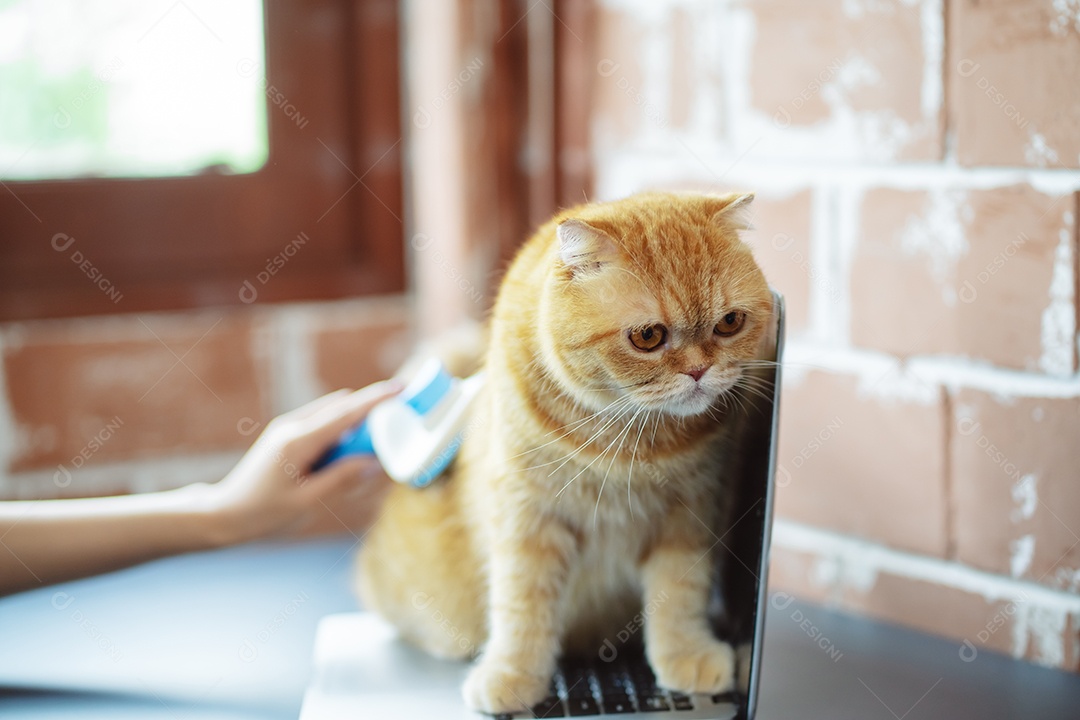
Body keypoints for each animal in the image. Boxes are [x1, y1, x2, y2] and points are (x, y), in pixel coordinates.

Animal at [358, 191, 773, 716]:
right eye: (648, 337)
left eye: (729, 323)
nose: (700, 371)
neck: (628, 437)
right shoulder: (527, 519)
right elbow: (522, 604)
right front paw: (512, 674)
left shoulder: (689, 514)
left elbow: (680, 593)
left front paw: (686, 654)